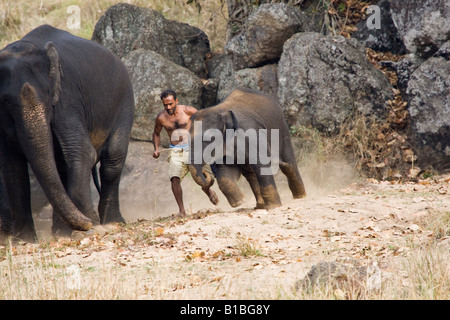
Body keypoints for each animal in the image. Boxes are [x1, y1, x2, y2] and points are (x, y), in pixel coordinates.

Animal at [0, 25, 134, 240]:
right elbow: (12, 164)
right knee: (62, 166)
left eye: (48, 92)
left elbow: (82, 151)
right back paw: (61, 232)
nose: (87, 223)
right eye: (6, 100)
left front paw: (92, 228)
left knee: (113, 159)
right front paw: (24, 240)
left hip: (125, 100)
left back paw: (112, 222)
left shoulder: (67, 98)